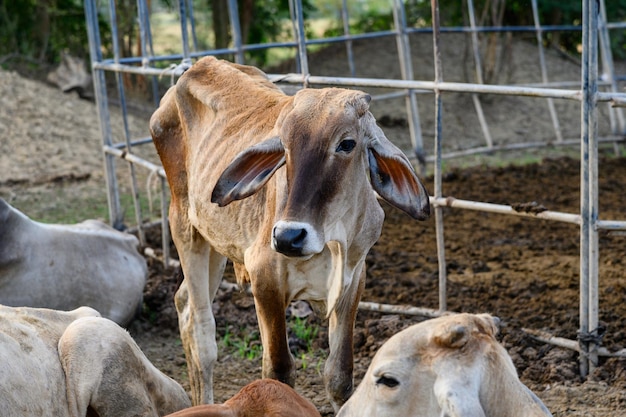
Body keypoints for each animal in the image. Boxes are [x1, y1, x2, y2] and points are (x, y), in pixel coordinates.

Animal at [150, 56, 428, 410]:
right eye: (283, 147)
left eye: (347, 144)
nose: (288, 236)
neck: (330, 239)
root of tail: (198, 65)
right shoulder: (265, 278)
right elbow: (279, 371)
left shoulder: (353, 281)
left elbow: (339, 376)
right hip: (185, 225)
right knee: (201, 330)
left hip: (216, 244)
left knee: (184, 302)